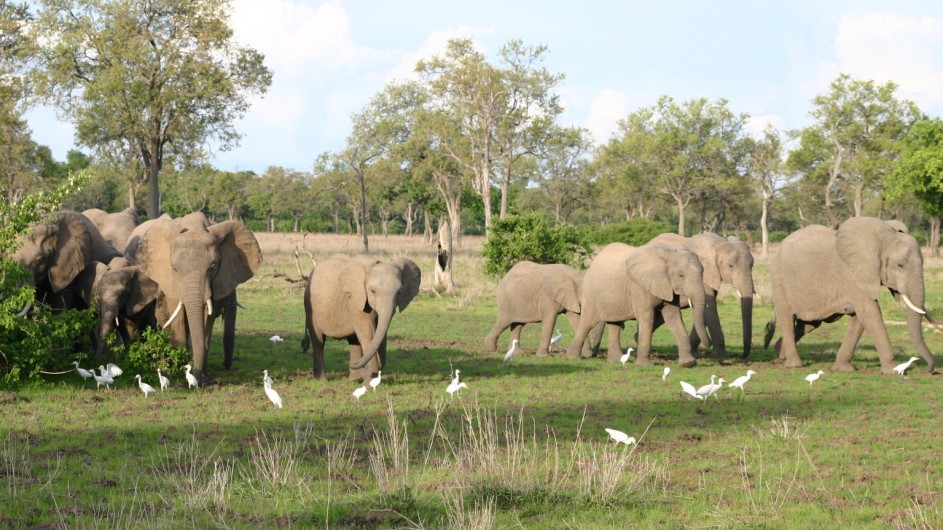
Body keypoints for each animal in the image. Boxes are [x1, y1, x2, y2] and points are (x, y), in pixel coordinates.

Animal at [126, 210, 262, 380]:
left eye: (213, 267)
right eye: (175, 269)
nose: (226, 365)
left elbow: (207, 318)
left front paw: (201, 376)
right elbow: (178, 317)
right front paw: (182, 369)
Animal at [304, 254, 422, 382]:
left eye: (400, 292)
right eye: (372, 291)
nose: (377, 371)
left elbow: (379, 333)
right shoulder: (355, 300)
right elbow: (368, 334)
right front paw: (370, 382)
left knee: (353, 341)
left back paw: (354, 379)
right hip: (310, 307)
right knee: (318, 341)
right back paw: (321, 380)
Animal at [564, 242, 712, 364]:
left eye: (703, 272)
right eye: (681, 275)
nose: (708, 344)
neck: (669, 253)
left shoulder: (668, 287)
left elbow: (674, 318)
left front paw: (688, 363)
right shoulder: (639, 287)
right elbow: (647, 318)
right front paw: (644, 365)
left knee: (615, 324)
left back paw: (615, 361)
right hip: (591, 292)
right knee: (587, 323)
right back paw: (572, 357)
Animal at [768, 217, 936, 374]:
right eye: (900, 265)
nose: (927, 370)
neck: (882, 238)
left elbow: (860, 318)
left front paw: (843, 370)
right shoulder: (852, 276)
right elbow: (870, 313)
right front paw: (893, 372)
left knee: (809, 324)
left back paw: (780, 353)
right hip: (779, 279)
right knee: (787, 318)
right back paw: (794, 364)